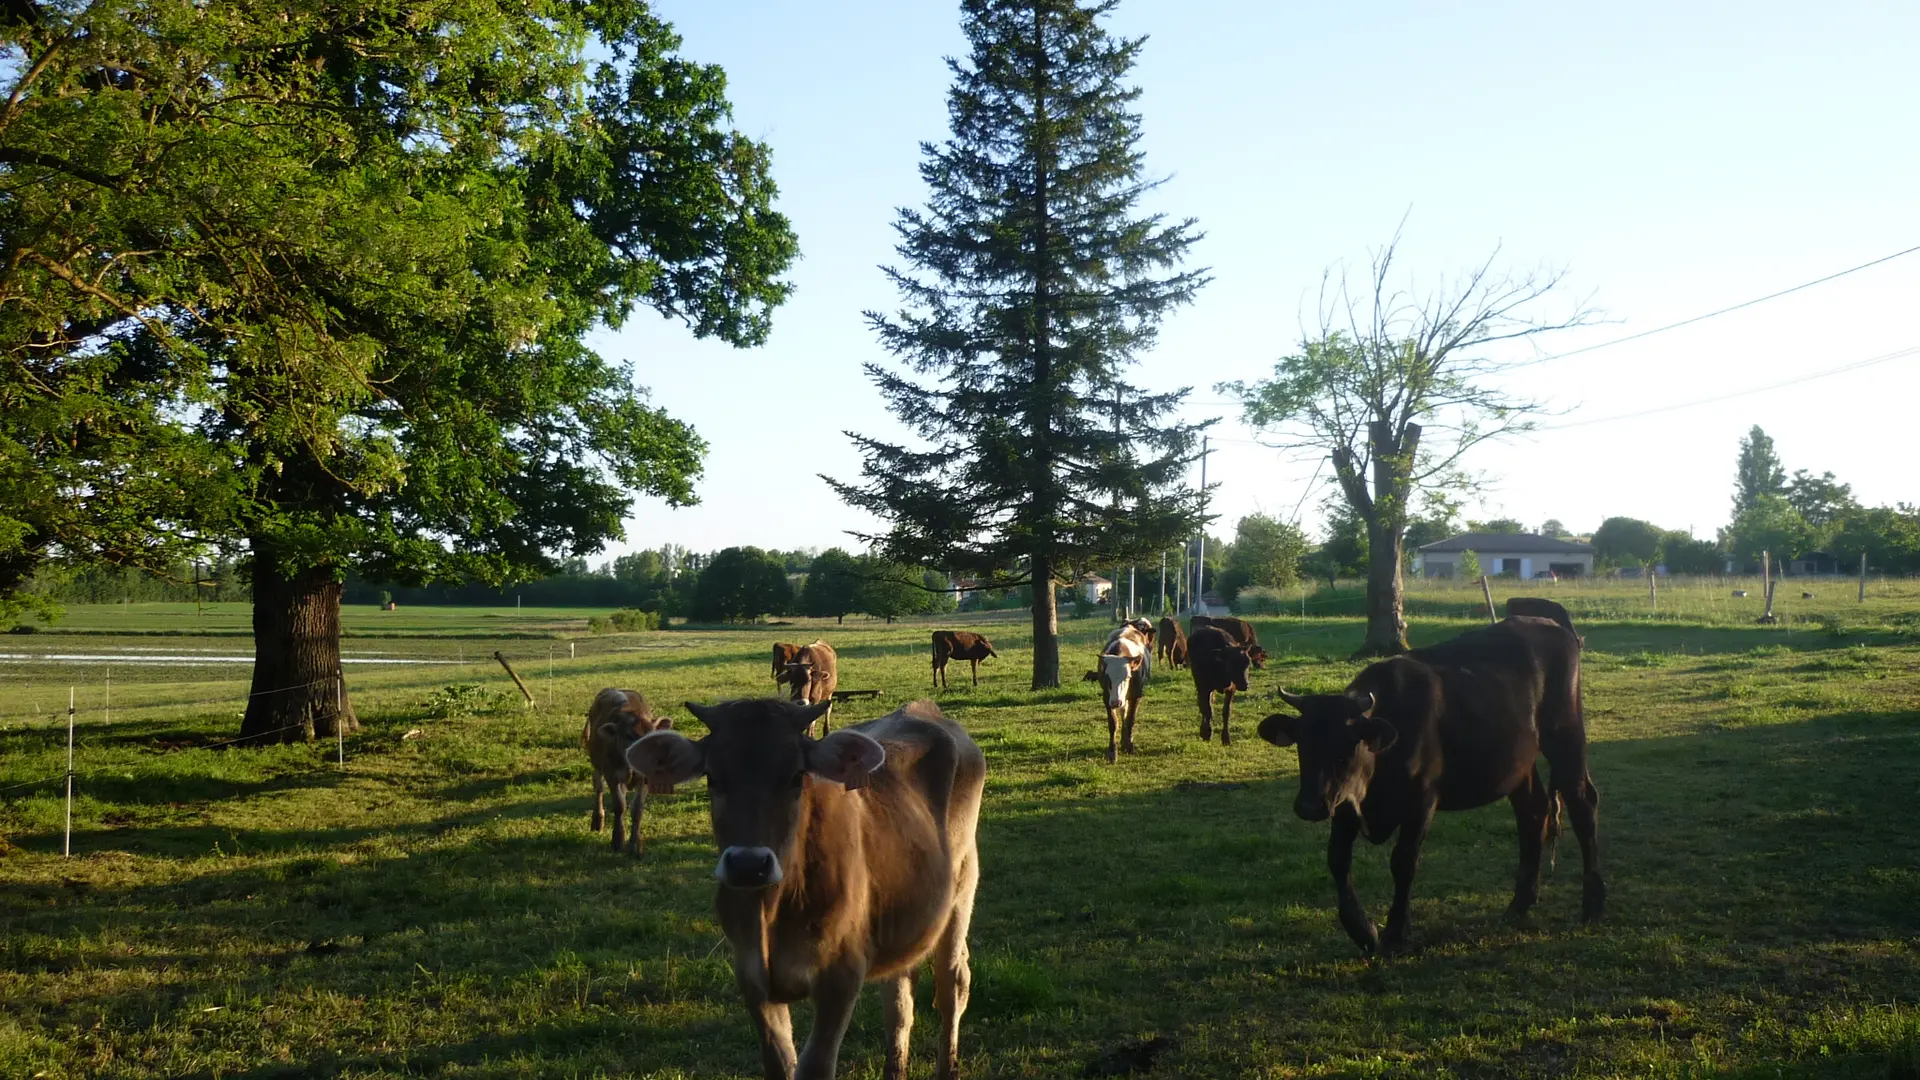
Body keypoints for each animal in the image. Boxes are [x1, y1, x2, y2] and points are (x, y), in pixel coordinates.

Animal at [581, 688, 673, 855]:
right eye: (628, 736)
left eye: (652, 735)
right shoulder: (612, 775)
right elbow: (619, 806)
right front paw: (617, 840)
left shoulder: (646, 778)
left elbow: (637, 809)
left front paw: (635, 844)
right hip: (597, 763)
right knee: (598, 788)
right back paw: (597, 821)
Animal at [625, 697, 985, 1080]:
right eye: (712, 777)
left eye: (796, 776)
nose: (748, 864)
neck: (771, 913)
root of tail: (923, 709)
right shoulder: (751, 976)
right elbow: (779, 1063)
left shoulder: (841, 976)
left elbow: (815, 1066)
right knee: (899, 997)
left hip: (962, 888)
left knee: (952, 983)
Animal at [1256, 616, 1604, 956]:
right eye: (1302, 744)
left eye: (1347, 746)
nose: (1309, 806)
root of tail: (1552, 625)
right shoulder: (1343, 802)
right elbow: (1338, 860)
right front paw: (1362, 930)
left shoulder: (1420, 799)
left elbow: (1404, 861)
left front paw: (1395, 931)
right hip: (1518, 763)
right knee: (1532, 813)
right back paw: (1520, 904)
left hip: (1566, 736)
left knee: (1583, 806)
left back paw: (1592, 906)